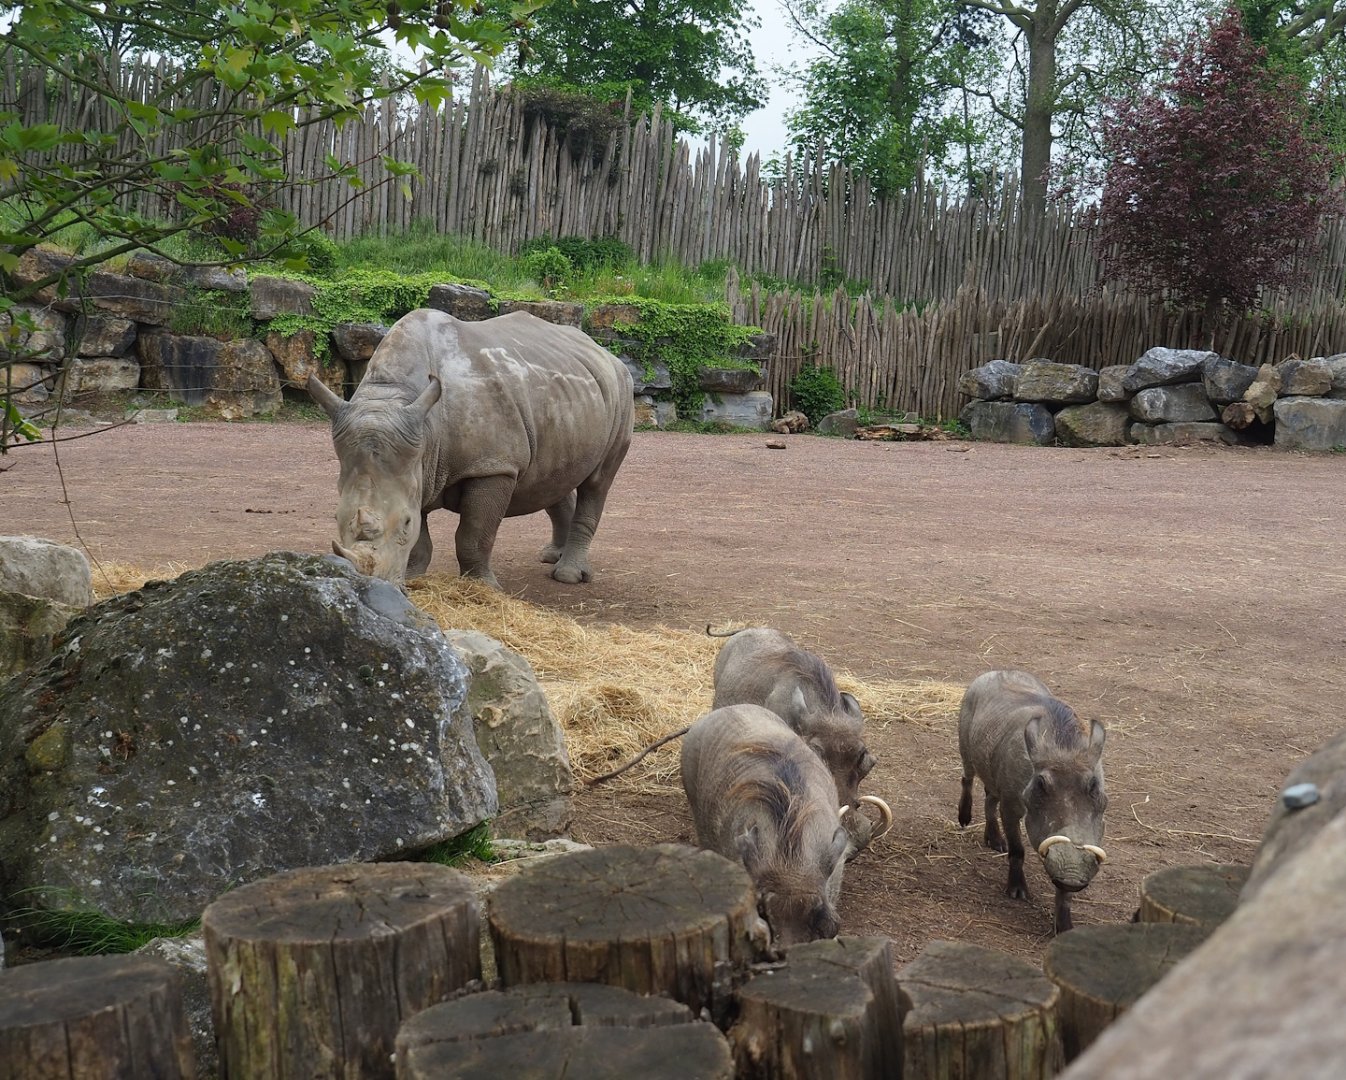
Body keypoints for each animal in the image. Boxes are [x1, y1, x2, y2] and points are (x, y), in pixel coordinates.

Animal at [308, 308, 633, 588]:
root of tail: (604, 352)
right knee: (553, 475)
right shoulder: (417, 466)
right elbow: (421, 540)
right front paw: (412, 579)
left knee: (597, 482)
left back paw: (568, 575)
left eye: (405, 523)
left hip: (622, 391)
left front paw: (483, 587)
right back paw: (551, 556)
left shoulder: (492, 465)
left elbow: (473, 535)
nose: (372, 584)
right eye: (336, 518)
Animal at [957, 669, 1108, 933]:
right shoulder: (1011, 806)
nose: (1072, 872)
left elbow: (1064, 895)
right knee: (967, 779)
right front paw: (1017, 892)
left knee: (989, 800)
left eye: (1094, 787)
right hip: (966, 751)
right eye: (1041, 784)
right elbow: (1018, 851)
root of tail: (995, 670)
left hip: (994, 777)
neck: (1063, 748)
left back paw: (996, 841)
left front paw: (1064, 927)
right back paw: (964, 819)